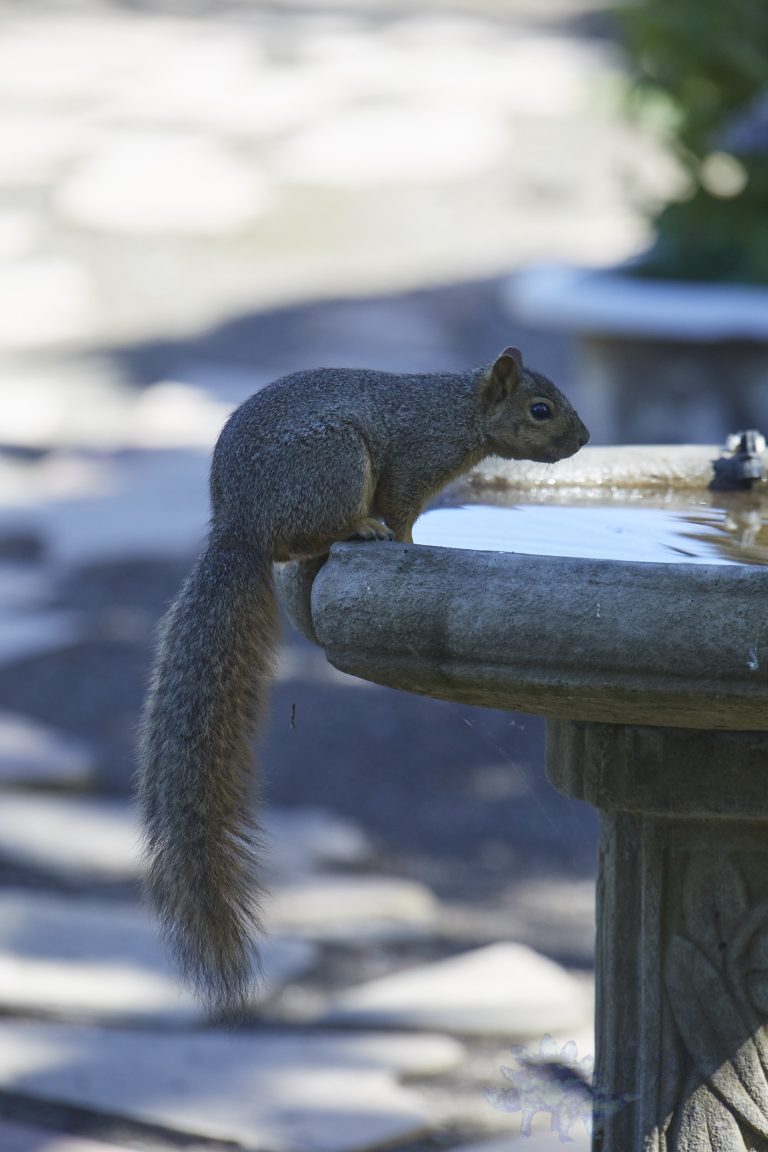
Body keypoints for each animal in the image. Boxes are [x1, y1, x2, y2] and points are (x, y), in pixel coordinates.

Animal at [137, 347, 589, 1015]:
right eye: (540, 410)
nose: (584, 439)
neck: (457, 413)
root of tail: (238, 524)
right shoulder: (412, 463)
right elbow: (402, 511)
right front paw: (408, 542)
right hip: (334, 464)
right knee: (302, 535)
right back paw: (358, 531)